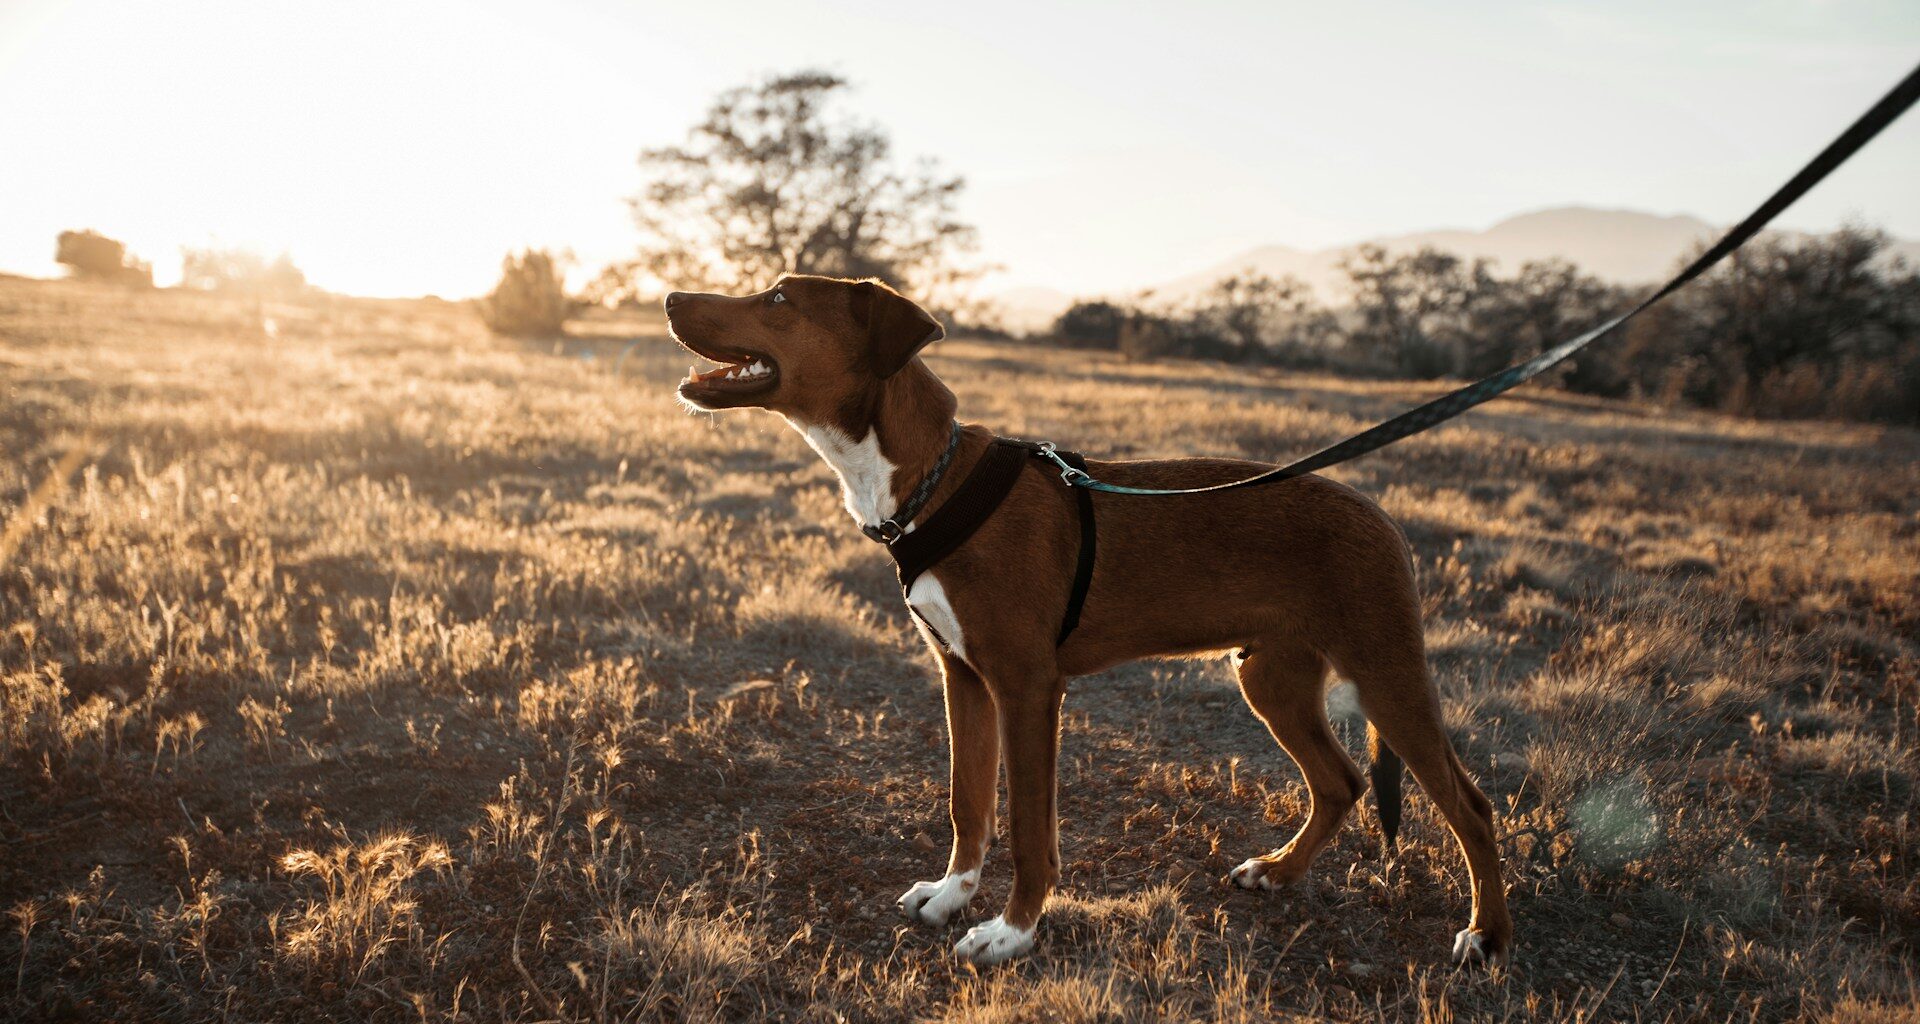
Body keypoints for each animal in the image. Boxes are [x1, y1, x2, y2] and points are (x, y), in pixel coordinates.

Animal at [668, 272, 1505, 964]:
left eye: (780, 297)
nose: (670, 299)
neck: (931, 480)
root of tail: (1381, 516)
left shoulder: (1028, 688)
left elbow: (1030, 830)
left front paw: (1012, 932)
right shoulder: (963, 678)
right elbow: (968, 803)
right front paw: (951, 895)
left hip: (1386, 672)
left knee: (1471, 806)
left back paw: (1486, 936)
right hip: (1273, 678)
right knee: (1340, 783)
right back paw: (1278, 871)